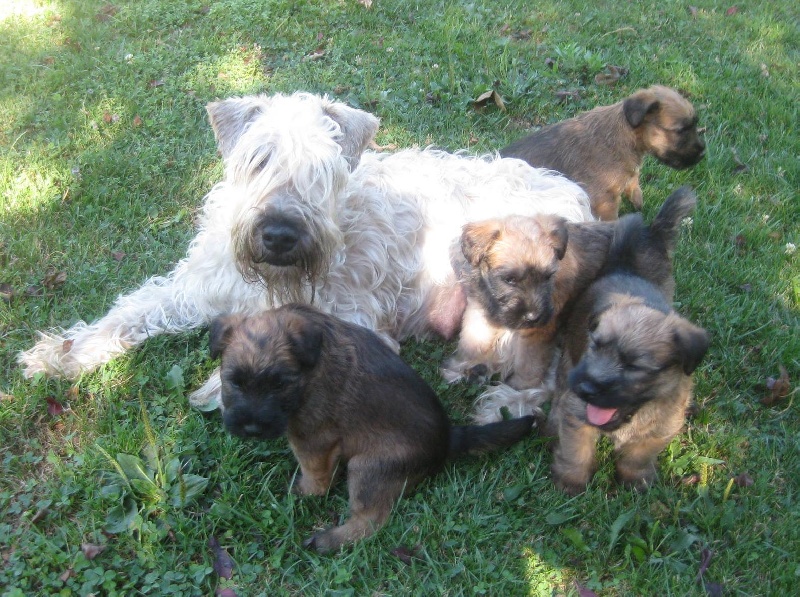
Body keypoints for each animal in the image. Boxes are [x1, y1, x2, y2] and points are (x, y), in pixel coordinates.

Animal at [18, 92, 592, 410]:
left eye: (323, 168)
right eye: (259, 158)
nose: (278, 234)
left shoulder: (357, 315)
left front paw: (218, 387)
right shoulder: (196, 286)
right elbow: (131, 311)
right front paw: (59, 352)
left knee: (555, 375)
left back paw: (503, 405)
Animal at [209, 304, 536, 552]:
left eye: (279, 384)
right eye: (235, 381)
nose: (251, 428)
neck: (307, 372)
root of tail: (448, 439)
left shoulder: (312, 437)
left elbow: (316, 476)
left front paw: (304, 491)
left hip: (369, 467)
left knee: (371, 521)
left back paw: (329, 540)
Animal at [504, 85, 704, 220]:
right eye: (681, 130)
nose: (702, 154)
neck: (626, 133)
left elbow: (634, 183)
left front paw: (637, 200)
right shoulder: (606, 202)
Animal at [548, 200, 708, 494]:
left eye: (634, 366)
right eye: (594, 347)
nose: (585, 388)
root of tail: (622, 267)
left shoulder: (662, 426)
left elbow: (638, 456)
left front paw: (635, 481)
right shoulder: (577, 414)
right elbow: (576, 452)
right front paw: (570, 483)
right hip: (567, 367)